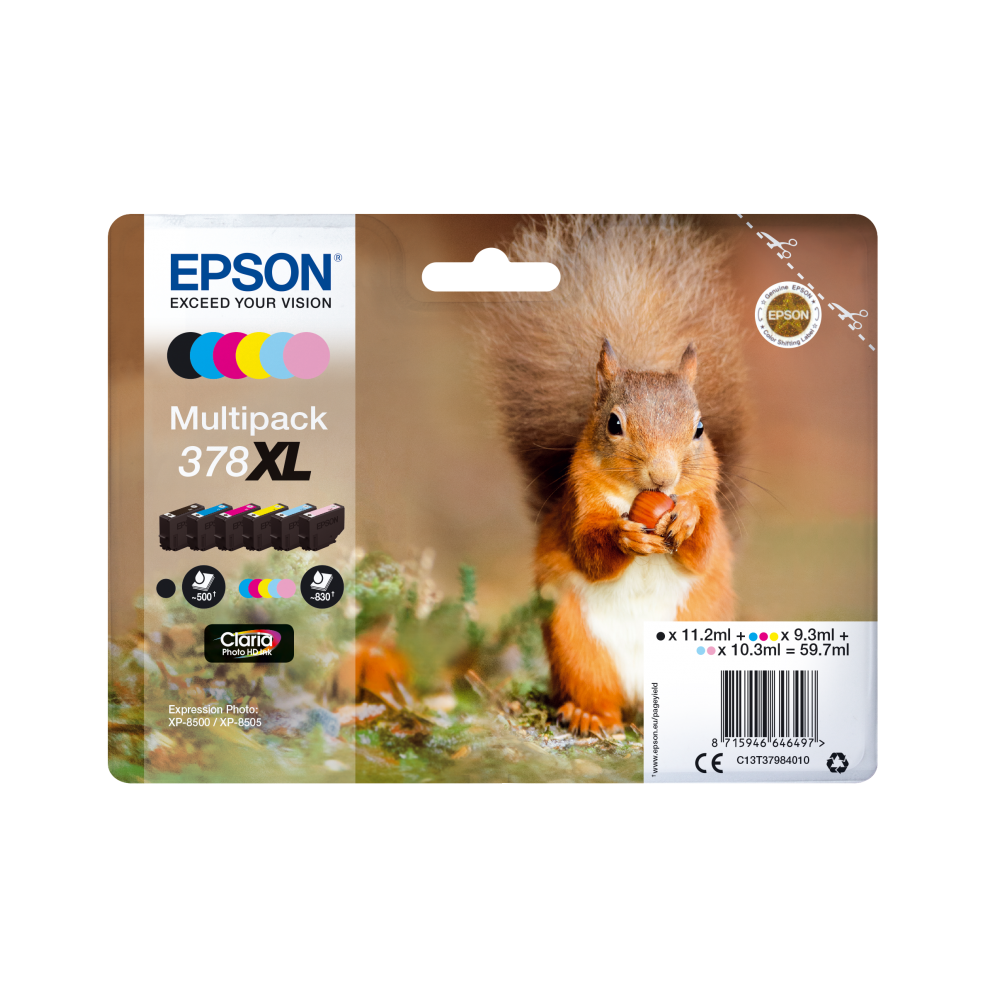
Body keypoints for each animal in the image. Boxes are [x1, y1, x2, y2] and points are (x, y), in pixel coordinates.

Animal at [477, 213, 748, 736]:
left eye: (699, 428)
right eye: (614, 424)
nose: (663, 477)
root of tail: (643, 700)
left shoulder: (710, 501)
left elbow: (702, 550)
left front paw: (686, 520)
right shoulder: (578, 505)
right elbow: (588, 550)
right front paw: (625, 538)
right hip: (577, 647)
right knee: (598, 693)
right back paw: (589, 715)